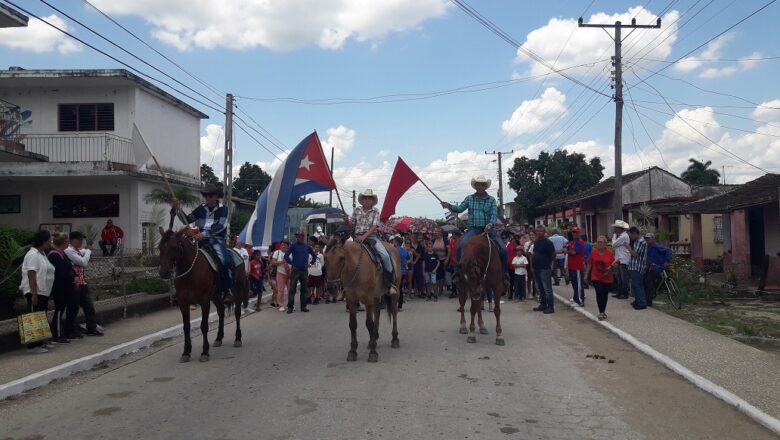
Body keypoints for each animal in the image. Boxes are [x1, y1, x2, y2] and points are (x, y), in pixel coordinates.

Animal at [156, 227, 247, 360]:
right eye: (160, 247)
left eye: (174, 247)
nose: (164, 272)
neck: (190, 272)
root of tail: (236, 253)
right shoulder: (183, 303)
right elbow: (186, 327)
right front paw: (186, 352)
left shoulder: (204, 301)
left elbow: (204, 326)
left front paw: (204, 352)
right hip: (215, 296)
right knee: (221, 312)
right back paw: (219, 338)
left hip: (238, 291)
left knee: (237, 313)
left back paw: (238, 338)